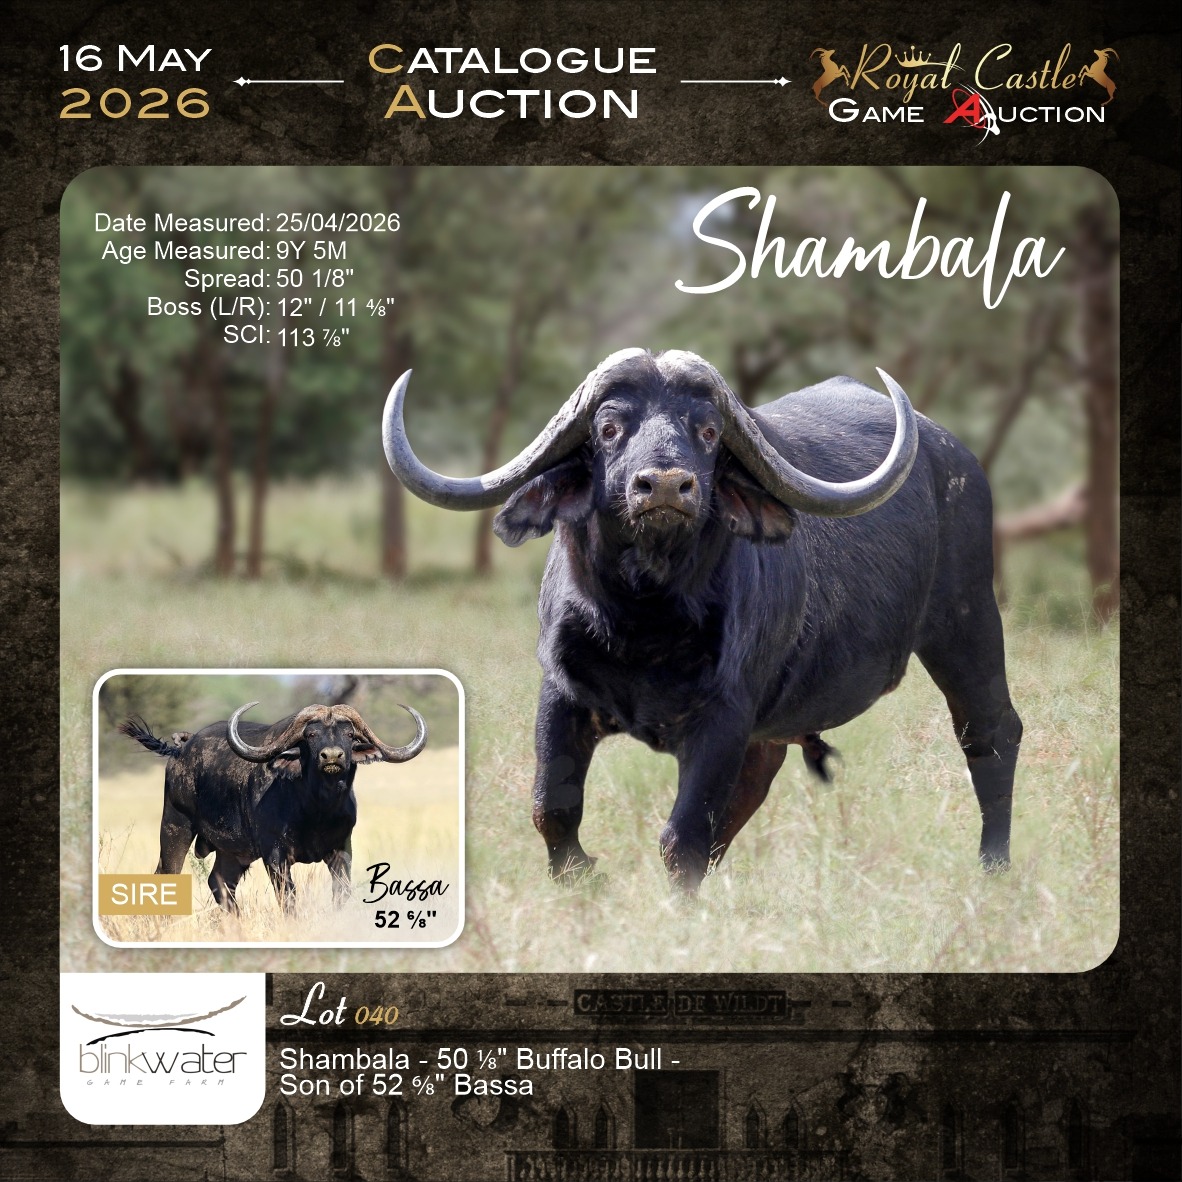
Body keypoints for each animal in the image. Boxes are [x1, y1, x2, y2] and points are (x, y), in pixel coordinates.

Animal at [119, 701, 427, 911]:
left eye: (349, 735)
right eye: (310, 735)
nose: (332, 756)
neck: (317, 810)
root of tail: (180, 750)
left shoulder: (341, 850)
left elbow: (341, 893)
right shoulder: (275, 855)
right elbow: (288, 898)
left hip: (233, 852)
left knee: (220, 883)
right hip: (175, 824)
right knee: (167, 872)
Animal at [381, 348, 1021, 895]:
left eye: (708, 431)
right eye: (609, 428)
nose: (665, 484)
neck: (642, 623)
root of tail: (957, 460)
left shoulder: (722, 719)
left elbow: (682, 839)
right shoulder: (561, 694)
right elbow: (552, 810)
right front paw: (583, 879)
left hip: (967, 623)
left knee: (991, 733)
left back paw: (994, 868)